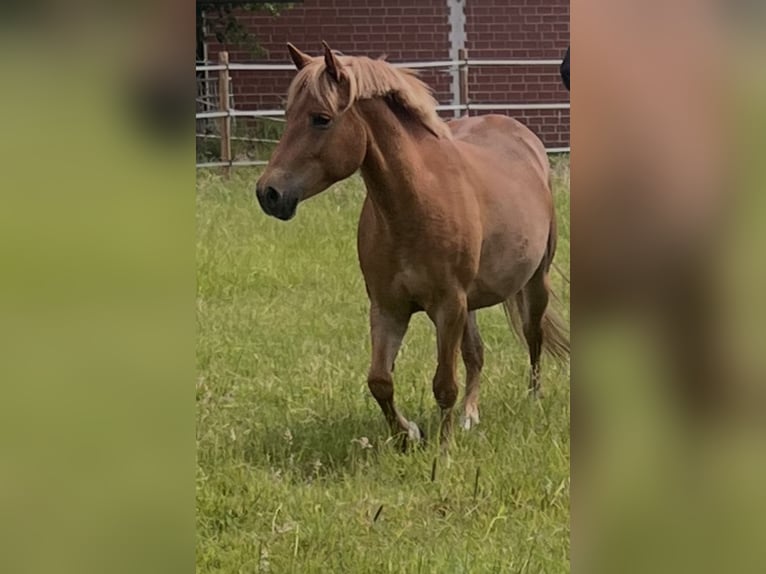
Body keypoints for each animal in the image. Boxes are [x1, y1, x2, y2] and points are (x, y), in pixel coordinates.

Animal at [255, 42, 569, 447]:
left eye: (321, 118)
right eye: (288, 114)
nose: (268, 193)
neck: (413, 205)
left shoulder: (448, 306)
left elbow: (444, 384)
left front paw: (444, 446)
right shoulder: (388, 308)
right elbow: (380, 381)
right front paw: (408, 434)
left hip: (533, 283)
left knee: (533, 338)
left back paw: (532, 400)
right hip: (470, 303)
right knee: (476, 354)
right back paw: (470, 415)